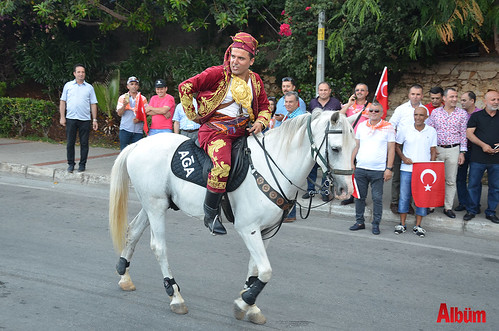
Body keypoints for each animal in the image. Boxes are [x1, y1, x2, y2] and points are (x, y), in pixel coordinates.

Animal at [108, 110, 356, 326]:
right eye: (335, 148)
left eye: (355, 147)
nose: (345, 190)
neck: (273, 165)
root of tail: (139, 144)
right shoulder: (248, 228)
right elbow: (265, 270)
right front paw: (244, 302)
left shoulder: (266, 231)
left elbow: (255, 269)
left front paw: (250, 305)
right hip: (156, 205)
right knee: (158, 247)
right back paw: (175, 296)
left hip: (153, 204)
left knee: (133, 231)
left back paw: (124, 276)